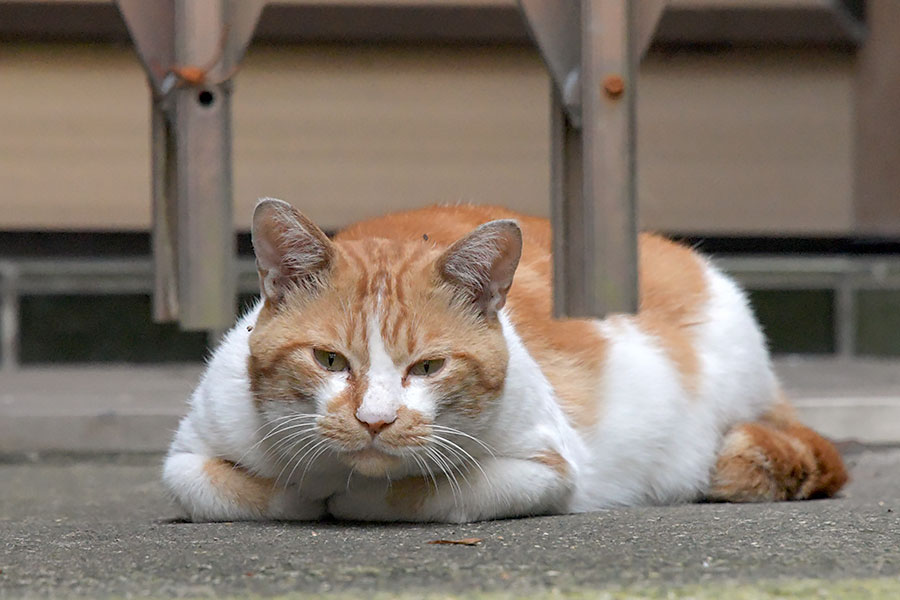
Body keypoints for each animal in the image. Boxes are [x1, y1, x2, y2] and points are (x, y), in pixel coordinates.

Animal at [163, 199, 852, 524]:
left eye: (429, 368)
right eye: (329, 359)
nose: (375, 420)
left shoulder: (547, 466)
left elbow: (418, 494)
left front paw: (347, 494)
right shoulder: (187, 453)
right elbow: (222, 487)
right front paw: (307, 490)